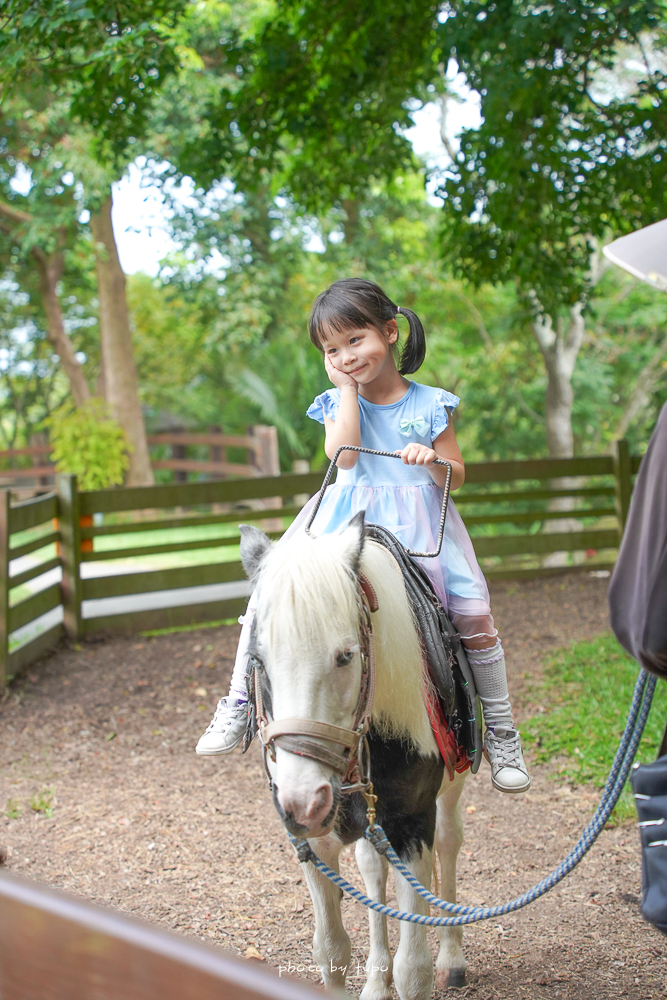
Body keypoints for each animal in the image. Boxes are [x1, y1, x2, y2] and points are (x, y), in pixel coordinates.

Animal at [243, 516, 468, 1000]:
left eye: (346, 656)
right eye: (257, 661)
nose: (305, 803)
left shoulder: (411, 824)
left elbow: (414, 971)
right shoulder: (314, 841)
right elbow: (331, 952)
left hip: (452, 787)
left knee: (449, 842)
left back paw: (453, 959)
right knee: (371, 868)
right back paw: (376, 981)